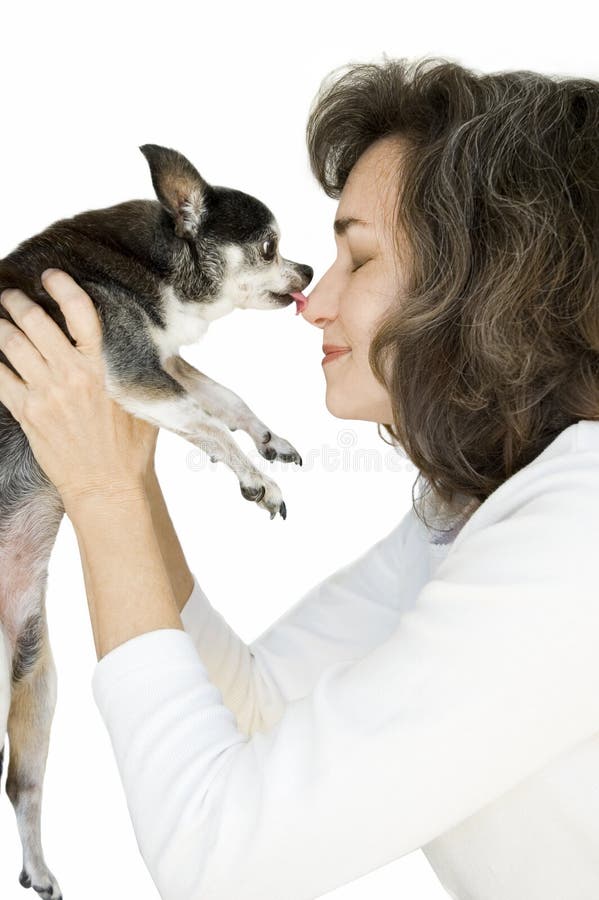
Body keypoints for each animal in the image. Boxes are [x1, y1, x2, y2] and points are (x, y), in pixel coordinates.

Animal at [0, 144, 316, 896]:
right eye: (270, 247)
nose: (310, 271)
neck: (160, 264)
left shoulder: (165, 364)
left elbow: (225, 401)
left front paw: (270, 441)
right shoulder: (136, 372)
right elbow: (210, 424)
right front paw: (255, 477)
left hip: (36, 673)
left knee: (20, 782)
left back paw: (38, 869)